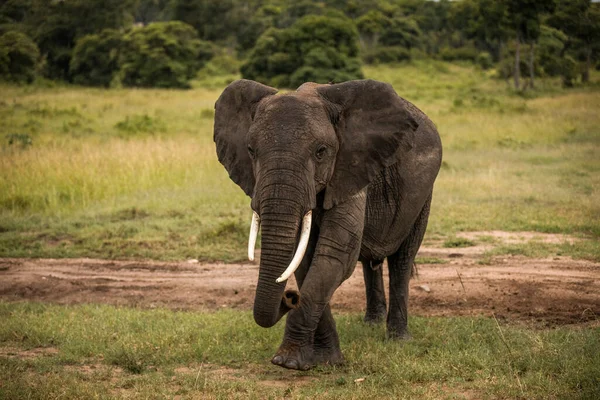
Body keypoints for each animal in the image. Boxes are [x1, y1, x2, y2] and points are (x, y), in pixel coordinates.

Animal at [212, 79, 440, 372]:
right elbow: (305, 262)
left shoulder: (352, 165)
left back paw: (398, 339)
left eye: (320, 152)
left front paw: (288, 360)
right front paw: (323, 359)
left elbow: (335, 253)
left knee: (402, 259)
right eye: (251, 151)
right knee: (371, 262)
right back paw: (371, 324)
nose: (289, 297)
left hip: (423, 195)